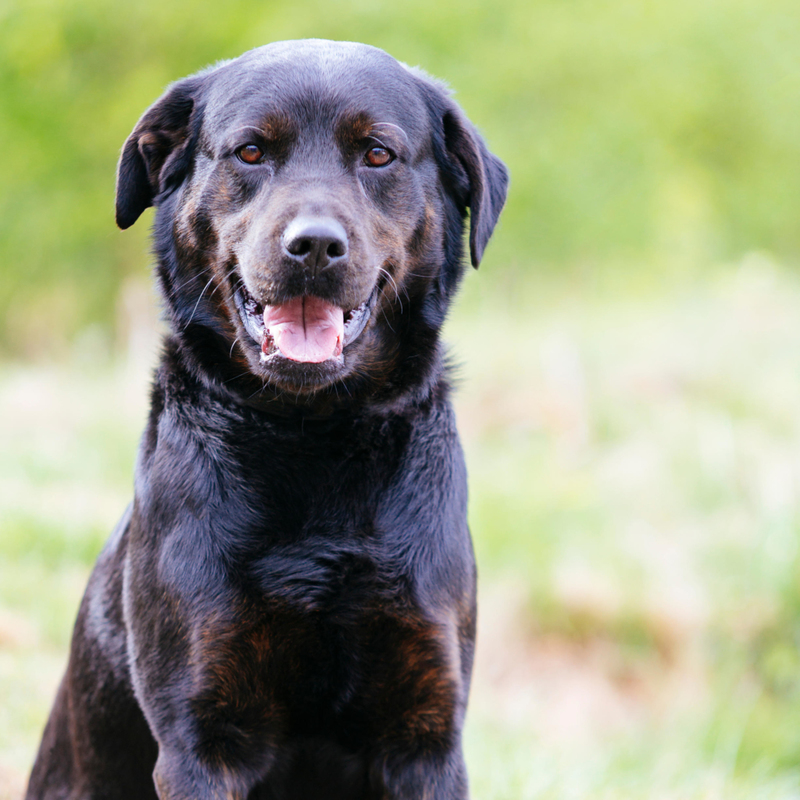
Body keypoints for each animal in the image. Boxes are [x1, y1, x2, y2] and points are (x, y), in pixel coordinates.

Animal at [28, 39, 506, 800]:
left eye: (378, 154)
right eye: (250, 152)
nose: (314, 245)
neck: (313, 436)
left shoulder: (424, 733)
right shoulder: (202, 735)